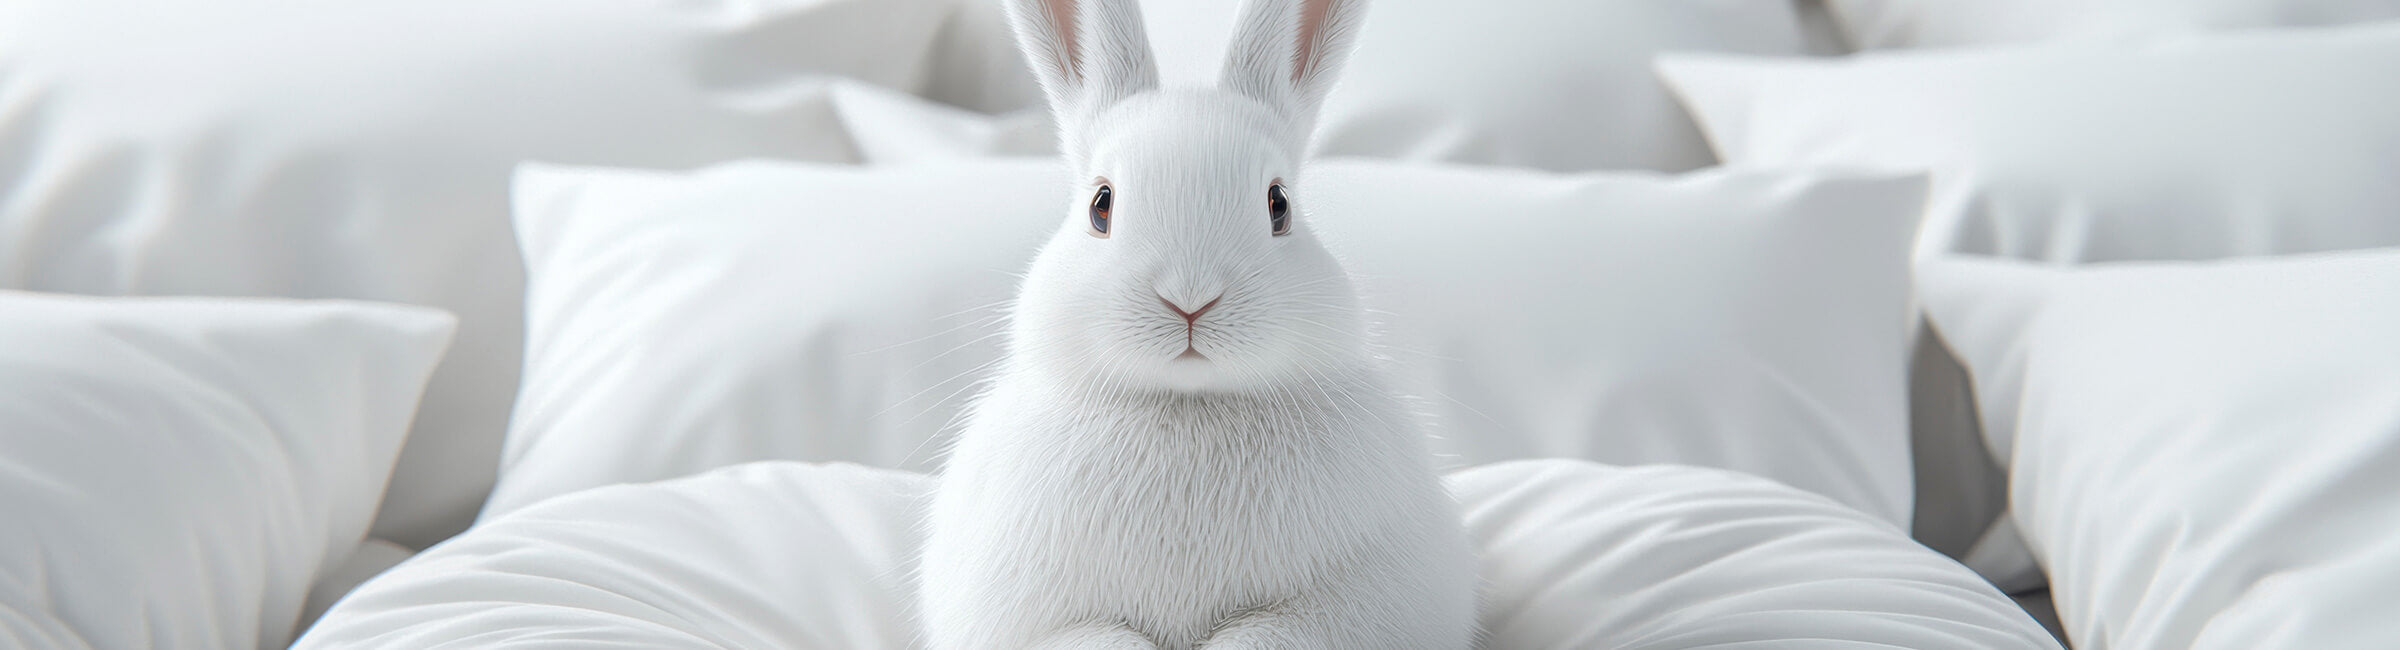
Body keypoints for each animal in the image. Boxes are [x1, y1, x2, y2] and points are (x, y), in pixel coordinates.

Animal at [915, 0, 1476, 648]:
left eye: (1278, 204)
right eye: (1101, 205)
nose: (1190, 298)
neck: (1187, 402)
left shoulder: (1341, 610)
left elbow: (1259, 636)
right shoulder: (1044, 621)